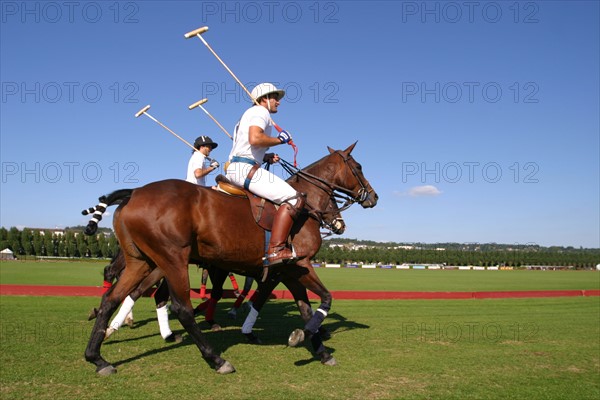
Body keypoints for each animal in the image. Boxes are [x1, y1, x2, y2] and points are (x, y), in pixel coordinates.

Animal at [84, 144, 378, 376]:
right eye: (359, 167)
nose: (373, 197)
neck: (306, 209)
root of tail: (133, 193)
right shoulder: (298, 264)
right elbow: (324, 298)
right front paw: (303, 336)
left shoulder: (288, 270)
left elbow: (302, 306)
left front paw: (319, 348)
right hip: (170, 258)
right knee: (177, 306)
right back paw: (215, 358)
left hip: (141, 260)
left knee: (112, 297)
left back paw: (98, 356)